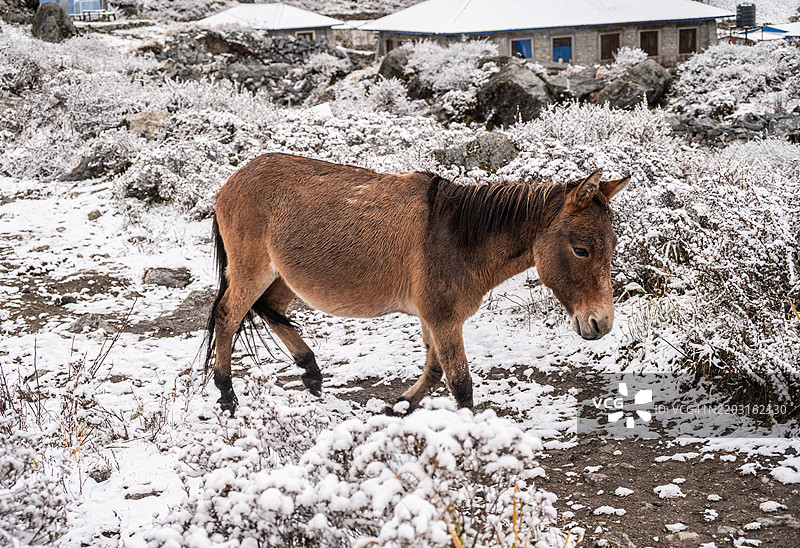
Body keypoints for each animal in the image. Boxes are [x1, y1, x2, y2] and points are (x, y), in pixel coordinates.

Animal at [203, 153, 629, 415]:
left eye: (612, 245)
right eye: (581, 250)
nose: (602, 324)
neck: (457, 236)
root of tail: (233, 179)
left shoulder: (434, 317)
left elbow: (436, 370)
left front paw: (400, 407)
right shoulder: (443, 318)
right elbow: (460, 383)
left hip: (283, 275)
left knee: (270, 311)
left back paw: (310, 372)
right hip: (252, 270)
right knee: (228, 315)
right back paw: (226, 395)